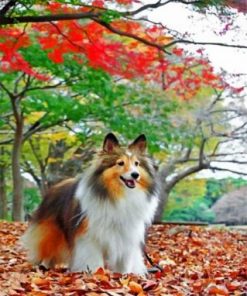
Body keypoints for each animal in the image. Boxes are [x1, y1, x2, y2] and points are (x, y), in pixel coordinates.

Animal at [22, 133, 159, 274]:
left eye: (137, 164)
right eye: (120, 163)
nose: (135, 175)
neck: (119, 195)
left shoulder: (127, 234)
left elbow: (124, 260)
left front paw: (124, 274)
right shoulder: (89, 235)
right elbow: (94, 259)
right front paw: (97, 273)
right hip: (52, 232)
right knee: (48, 249)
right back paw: (43, 267)